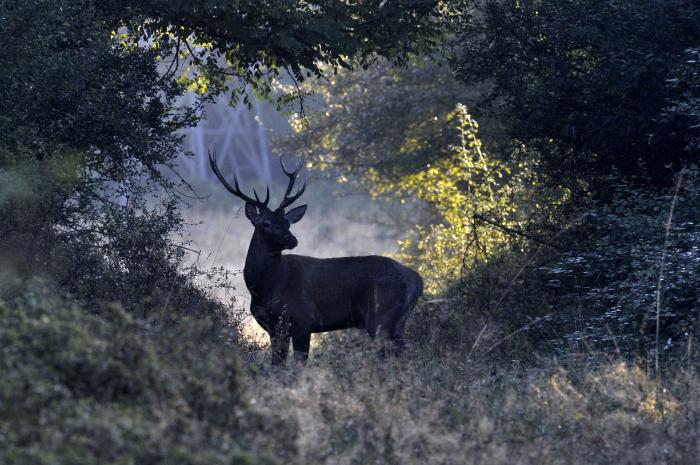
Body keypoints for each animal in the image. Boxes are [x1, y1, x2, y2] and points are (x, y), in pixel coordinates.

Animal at [208, 150, 424, 364]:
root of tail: (417, 279)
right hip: (399, 319)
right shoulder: (274, 328)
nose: (292, 239)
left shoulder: (302, 320)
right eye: (266, 223)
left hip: (380, 315)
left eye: (287, 223)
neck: (264, 288)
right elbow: (277, 365)